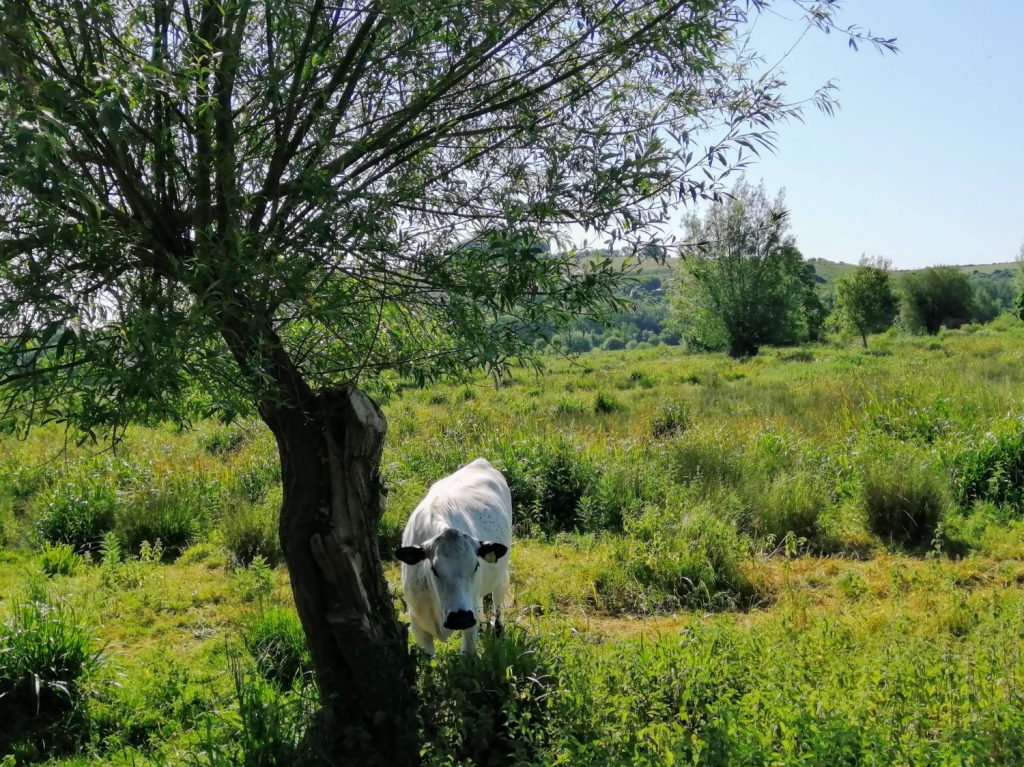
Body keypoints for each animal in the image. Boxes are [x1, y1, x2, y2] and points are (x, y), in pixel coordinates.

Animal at [397, 458, 512, 655]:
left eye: (476, 566)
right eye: (434, 570)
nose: (461, 618)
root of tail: (481, 461)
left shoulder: (470, 620)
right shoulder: (417, 625)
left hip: (500, 576)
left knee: (497, 601)